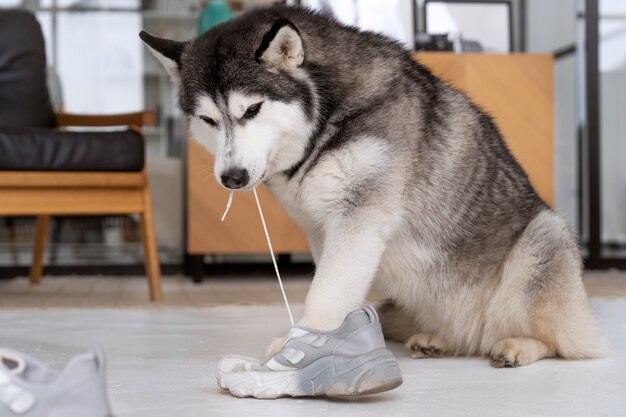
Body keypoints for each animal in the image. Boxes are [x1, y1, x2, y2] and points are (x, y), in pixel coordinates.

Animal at [140, 5, 600, 364]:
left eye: (251, 109)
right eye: (208, 120)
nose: (232, 178)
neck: (327, 120)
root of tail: (474, 332)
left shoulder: (359, 217)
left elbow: (325, 292)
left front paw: (297, 347)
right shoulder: (322, 229)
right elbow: (337, 289)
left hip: (545, 239)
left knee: (570, 344)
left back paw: (519, 345)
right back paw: (439, 340)